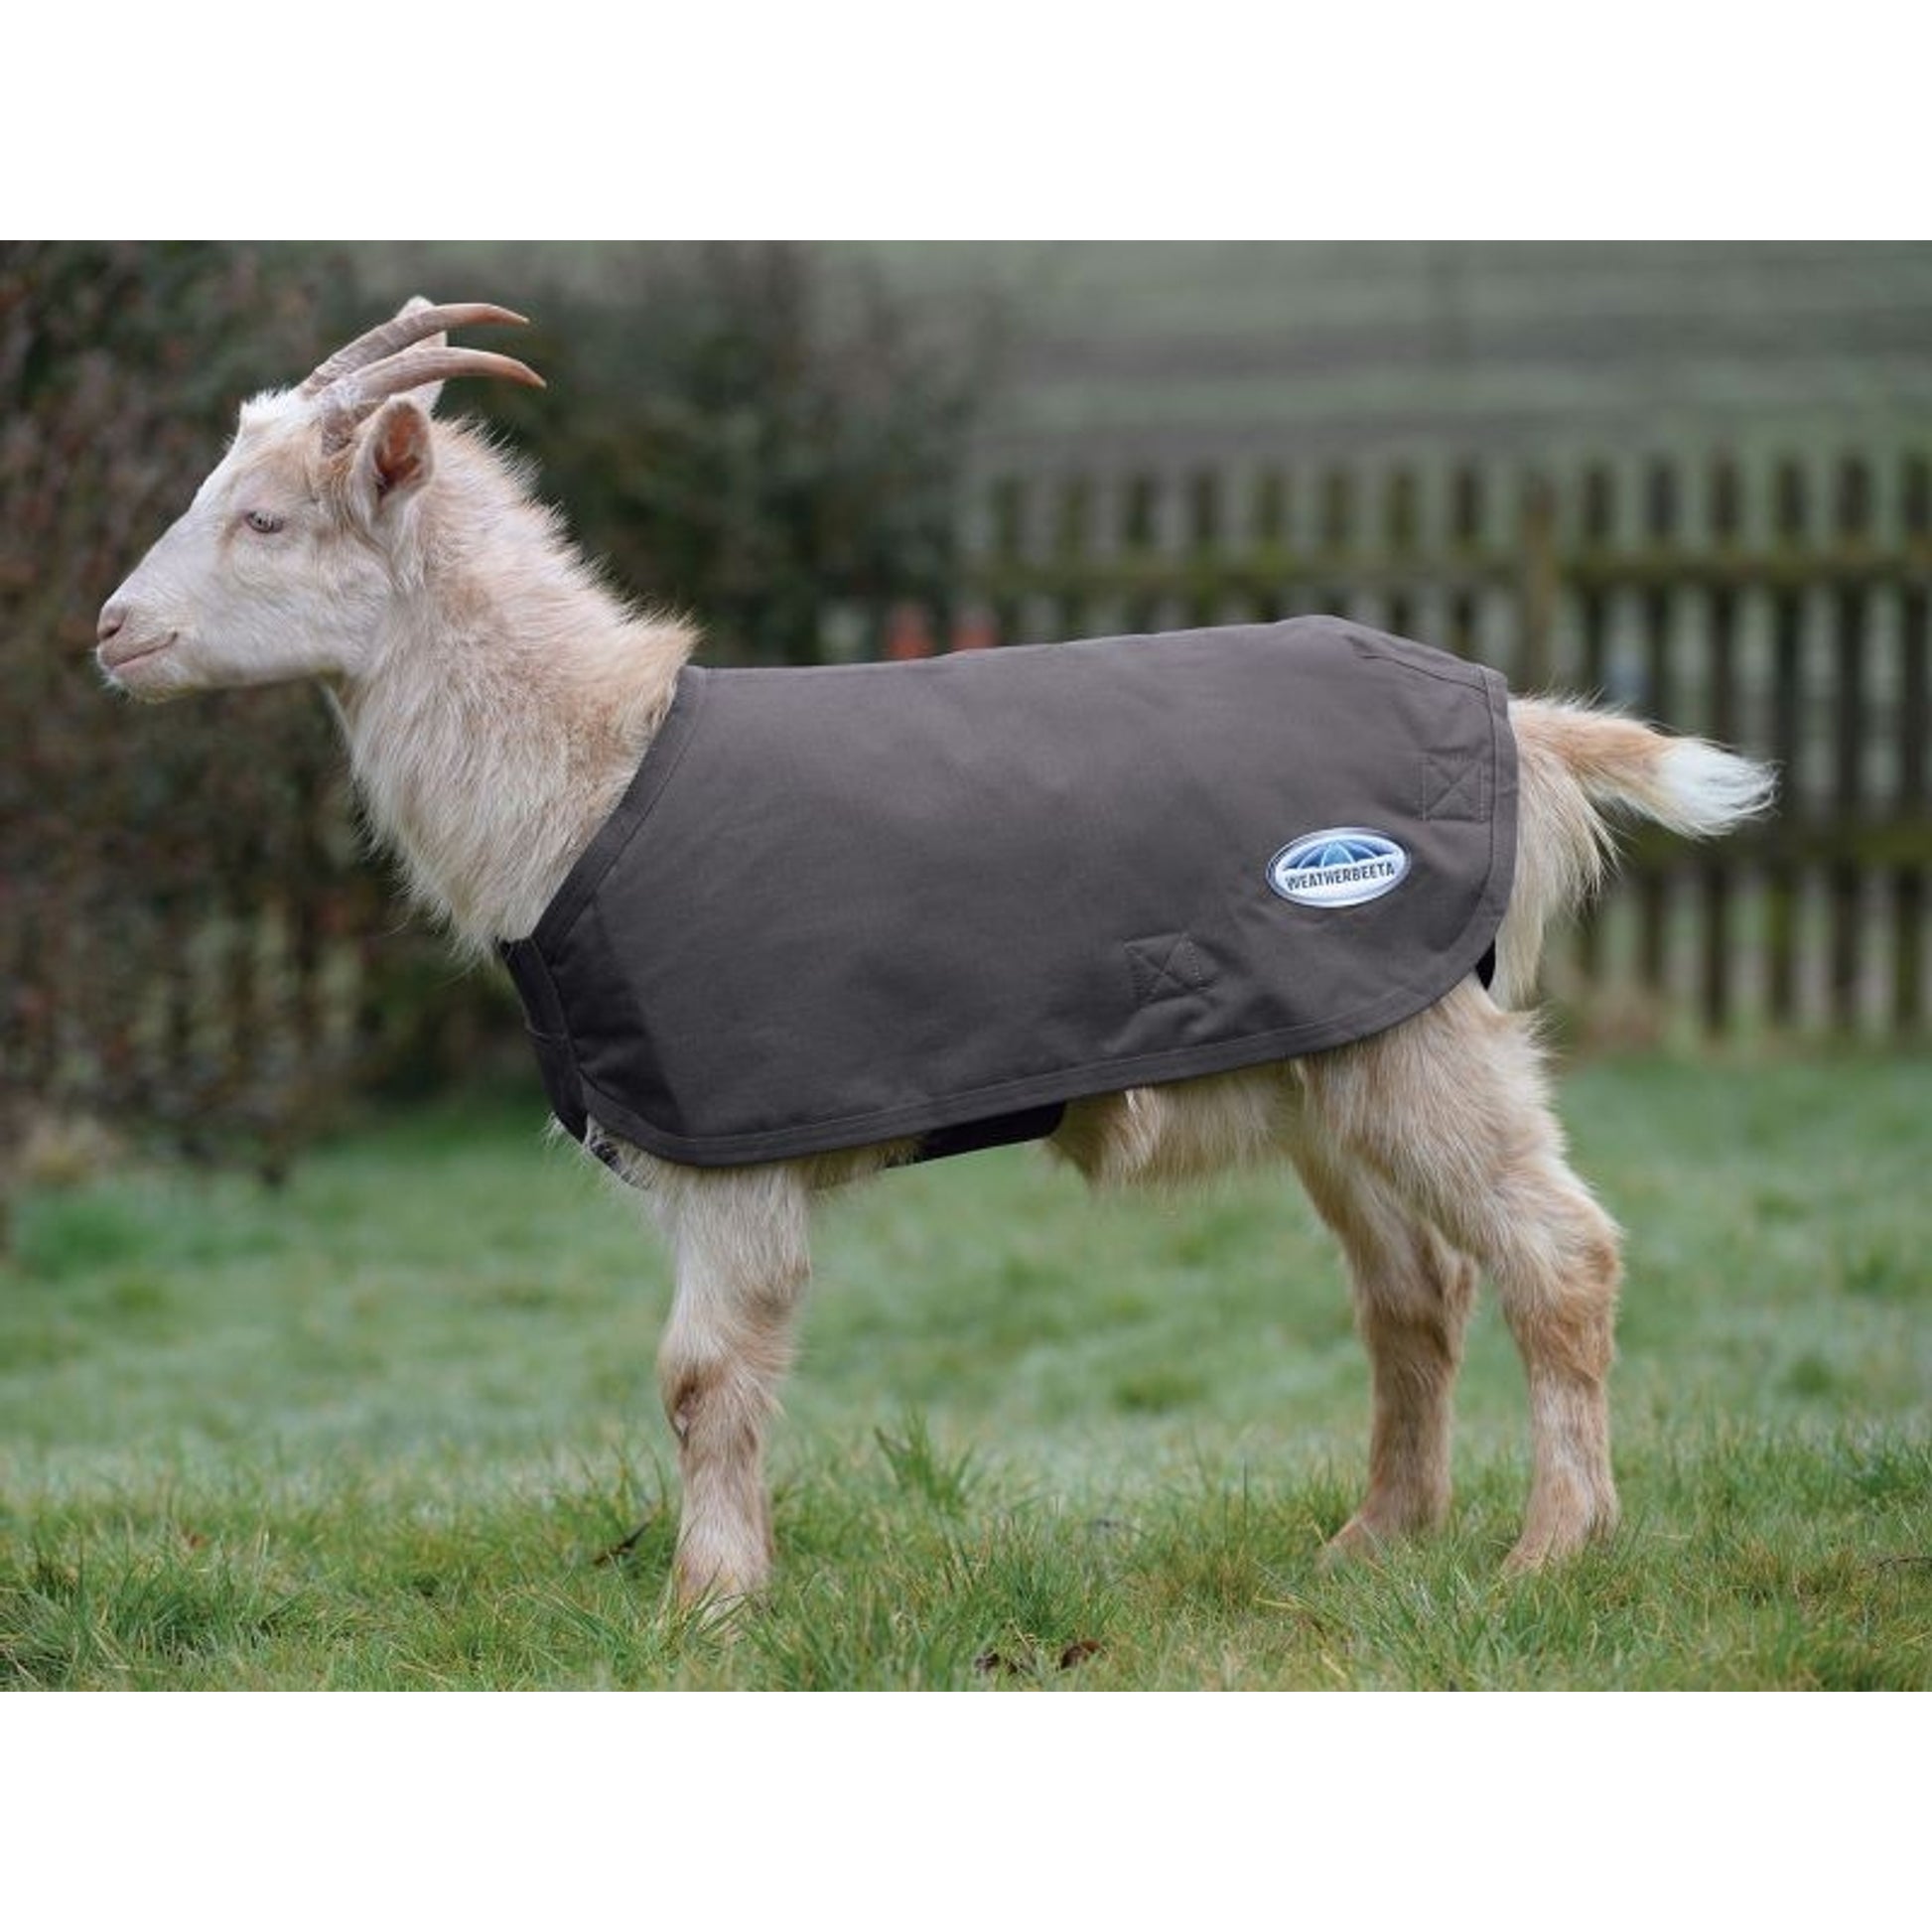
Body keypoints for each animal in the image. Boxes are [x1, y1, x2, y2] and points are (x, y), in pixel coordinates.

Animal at [97, 299, 1775, 1609]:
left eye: (264, 518)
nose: (112, 633)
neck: (592, 774)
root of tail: (1516, 722)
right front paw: (726, 1591)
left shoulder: (731, 1146)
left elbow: (699, 1377)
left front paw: (704, 1609)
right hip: (1333, 1046)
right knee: (1415, 1289)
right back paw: (1370, 1544)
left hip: (1419, 1037)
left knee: (1558, 1254)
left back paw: (1551, 1549)